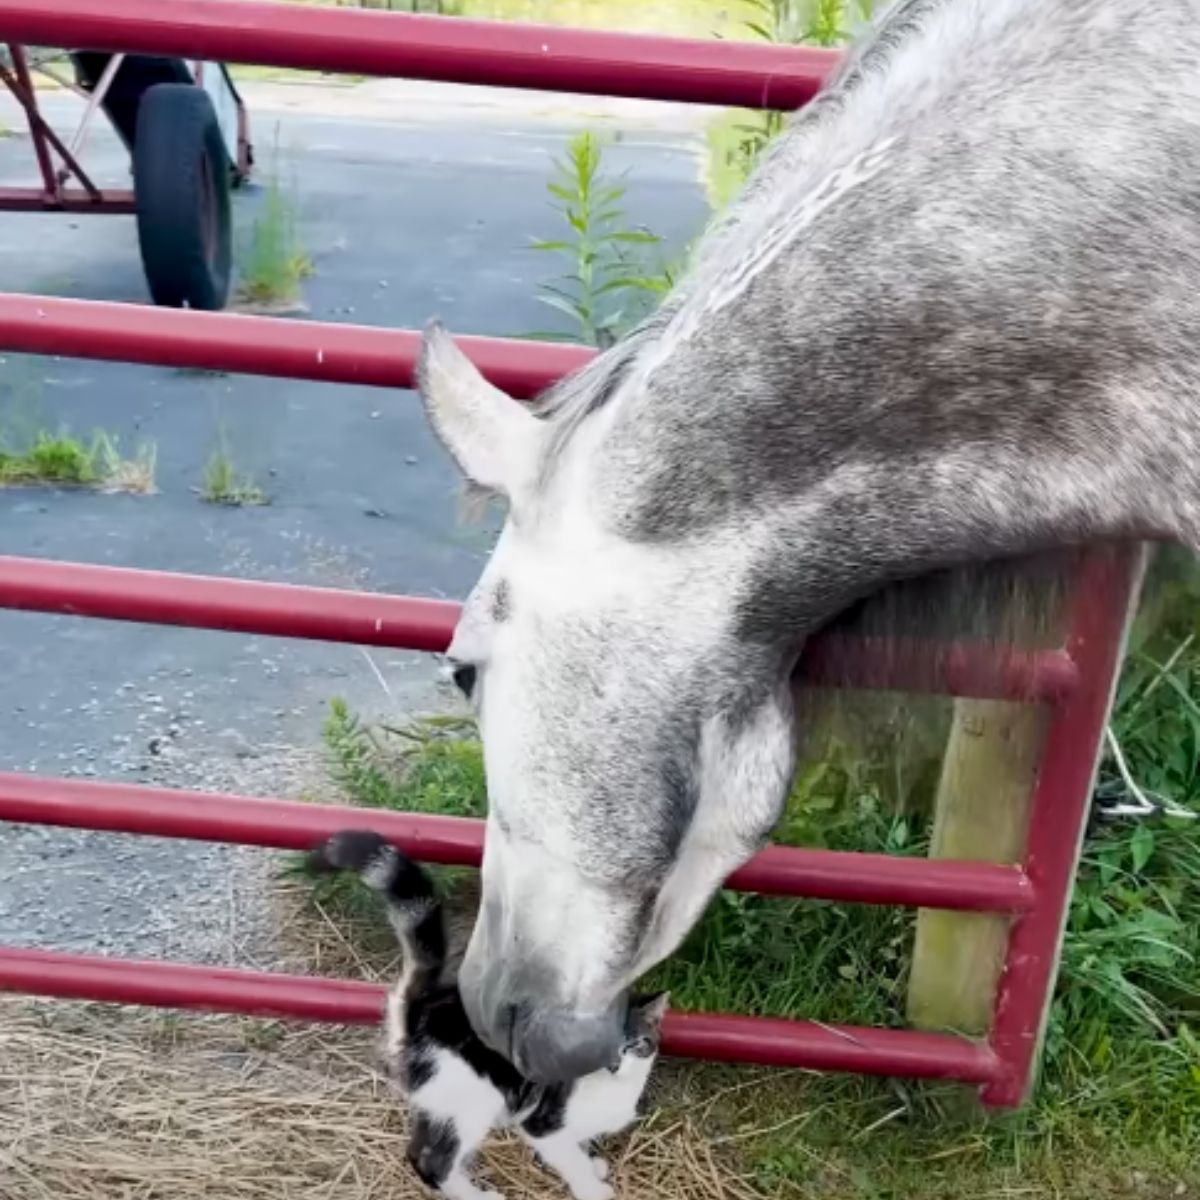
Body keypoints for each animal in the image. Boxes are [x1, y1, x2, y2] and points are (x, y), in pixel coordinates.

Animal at [307, 835, 667, 1200]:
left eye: (634, 1044)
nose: (613, 1064)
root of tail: (418, 1011)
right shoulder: (542, 1125)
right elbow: (570, 1157)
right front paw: (592, 1188)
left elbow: (581, 1146)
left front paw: (594, 1167)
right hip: (471, 1100)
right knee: (435, 1161)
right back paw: (477, 1195)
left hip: (436, 1102)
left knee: (418, 1150)